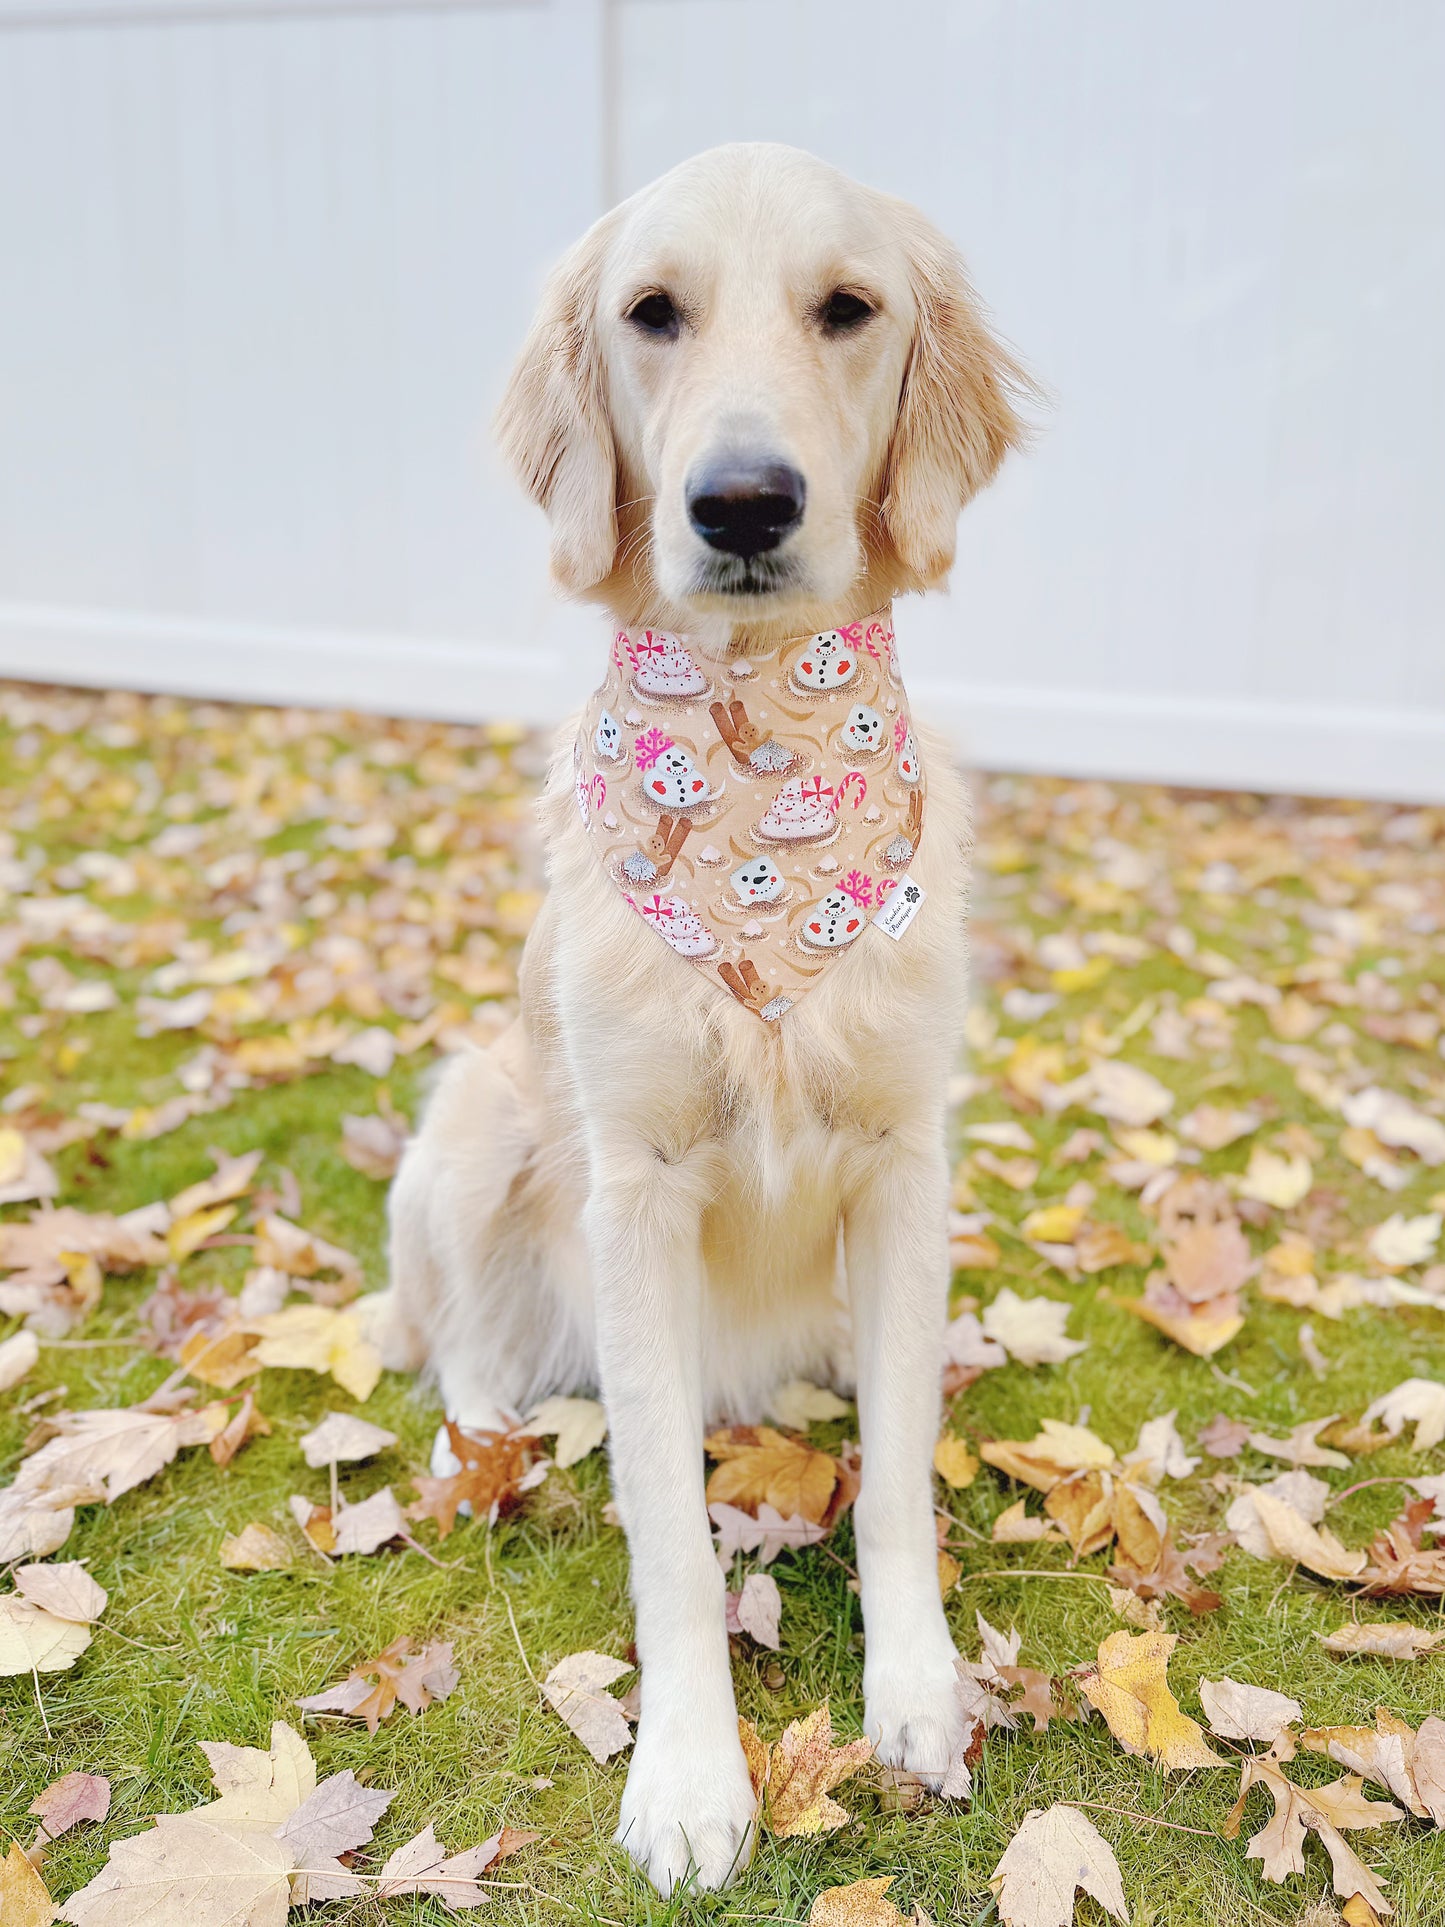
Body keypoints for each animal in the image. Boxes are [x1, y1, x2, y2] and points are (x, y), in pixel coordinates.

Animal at [373, 142, 1032, 1888]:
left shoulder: (903, 1162)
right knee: (466, 1350)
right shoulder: (634, 1187)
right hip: (477, 1118)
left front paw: (916, 1691)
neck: (754, 750)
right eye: (652, 312)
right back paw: (492, 1446)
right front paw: (685, 1775)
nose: (741, 503)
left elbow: (895, 1484)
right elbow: (667, 1525)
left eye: (848, 309)